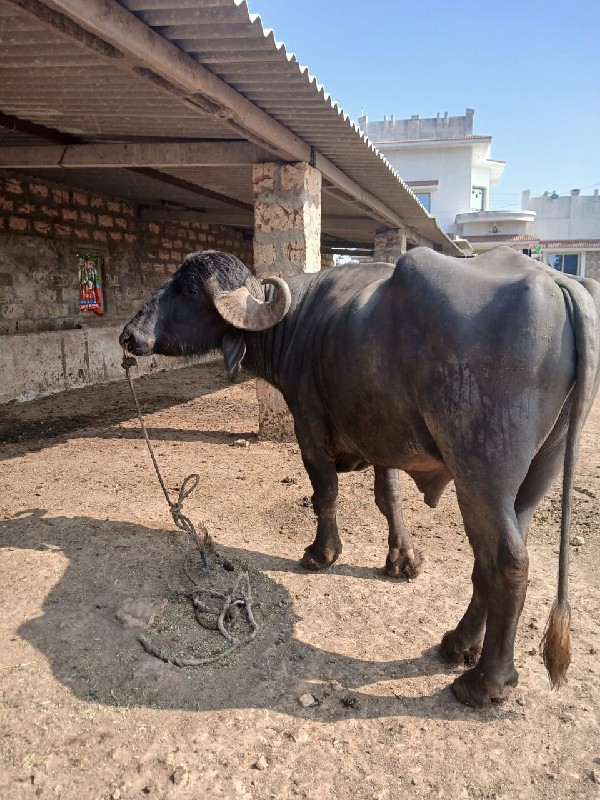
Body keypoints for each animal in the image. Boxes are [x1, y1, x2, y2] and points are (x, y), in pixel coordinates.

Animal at [120, 247, 600, 704]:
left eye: (190, 290)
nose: (129, 336)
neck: (296, 323)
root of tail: (557, 281)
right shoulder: (383, 436)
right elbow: (389, 497)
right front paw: (402, 559)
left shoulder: (309, 428)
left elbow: (324, 495)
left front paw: (321, 553)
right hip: (539, 472)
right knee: (492, 559)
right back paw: (459, 643)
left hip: (482, 475)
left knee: (507, 562)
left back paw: (485, 682)